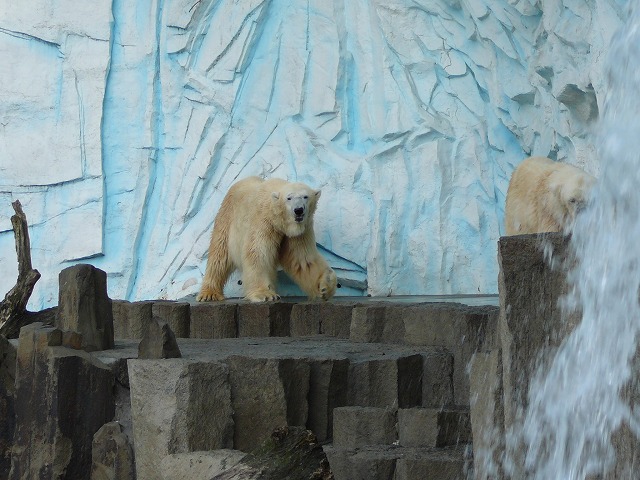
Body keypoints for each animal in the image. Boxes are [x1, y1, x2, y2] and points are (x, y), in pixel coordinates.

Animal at [196, 176, 338, 304]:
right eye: (289, 198)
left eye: (305, 196)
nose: (298, 210)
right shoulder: (263, 221)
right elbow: (258, 254)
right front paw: (265, 294)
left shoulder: (299, 233)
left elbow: (302, 259)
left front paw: (326, 284)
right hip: (226, 218)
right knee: (219, 254)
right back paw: (209, 294)